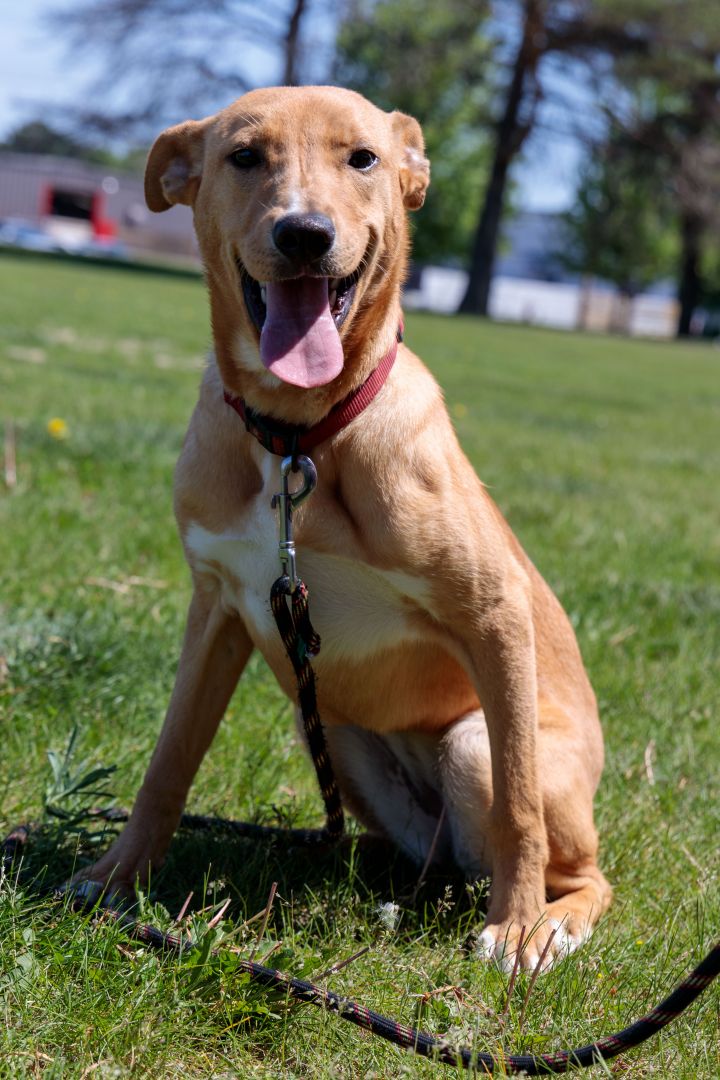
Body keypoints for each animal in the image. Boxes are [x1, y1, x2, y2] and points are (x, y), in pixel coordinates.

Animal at [78, 86, 613, 972]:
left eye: (362, 158)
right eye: (245, 156)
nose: (305, 233)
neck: (298, 436)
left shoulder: (495, 611)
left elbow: (519, 812)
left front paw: (517, 924)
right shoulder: (218, 607)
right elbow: (169, 760)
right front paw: (118, 876)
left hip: (470, 748)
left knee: (579, 864)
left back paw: (551, 922)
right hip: (330, 727)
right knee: (423, 856)